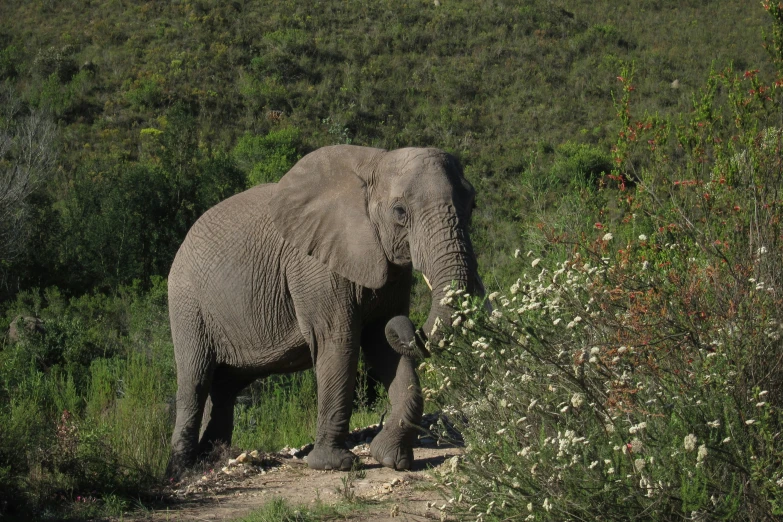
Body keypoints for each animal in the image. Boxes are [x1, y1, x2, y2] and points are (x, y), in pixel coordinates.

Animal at [167, 143, 484, 476]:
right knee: (195, 378)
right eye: (400, 212)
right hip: (187, 303)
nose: (411, 325)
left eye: (472, 205)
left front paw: (393, 459)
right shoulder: (314, 267)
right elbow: (339, 341)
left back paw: (210, 459)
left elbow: (383, 342)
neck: (374, 164)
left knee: (225, 387)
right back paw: (181, 471)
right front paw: (335, 465)